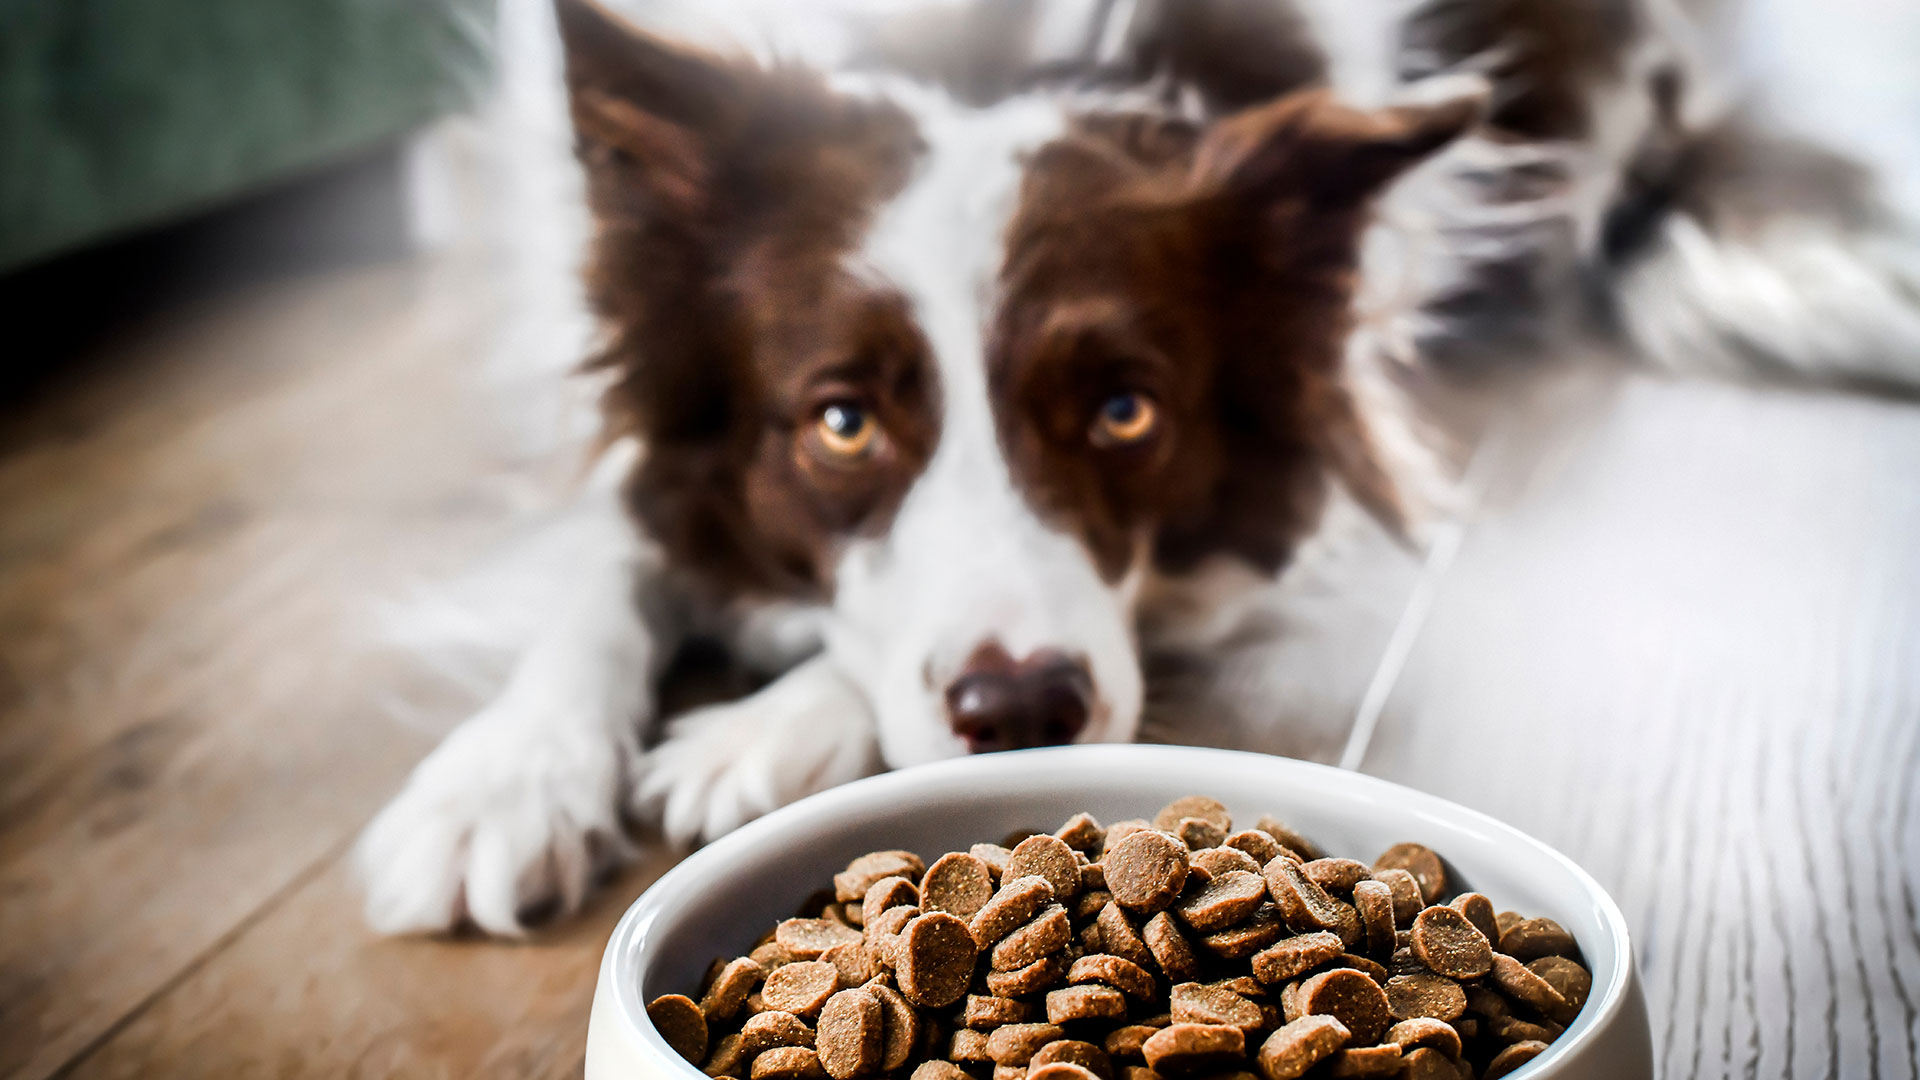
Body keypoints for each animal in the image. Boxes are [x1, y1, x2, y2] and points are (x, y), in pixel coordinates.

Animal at [357, 0, 1920, 930]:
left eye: (1124, 410)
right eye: (841, 421)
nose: (1025, 712)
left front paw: (768, 727)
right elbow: (608, 549)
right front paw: (502, 777)